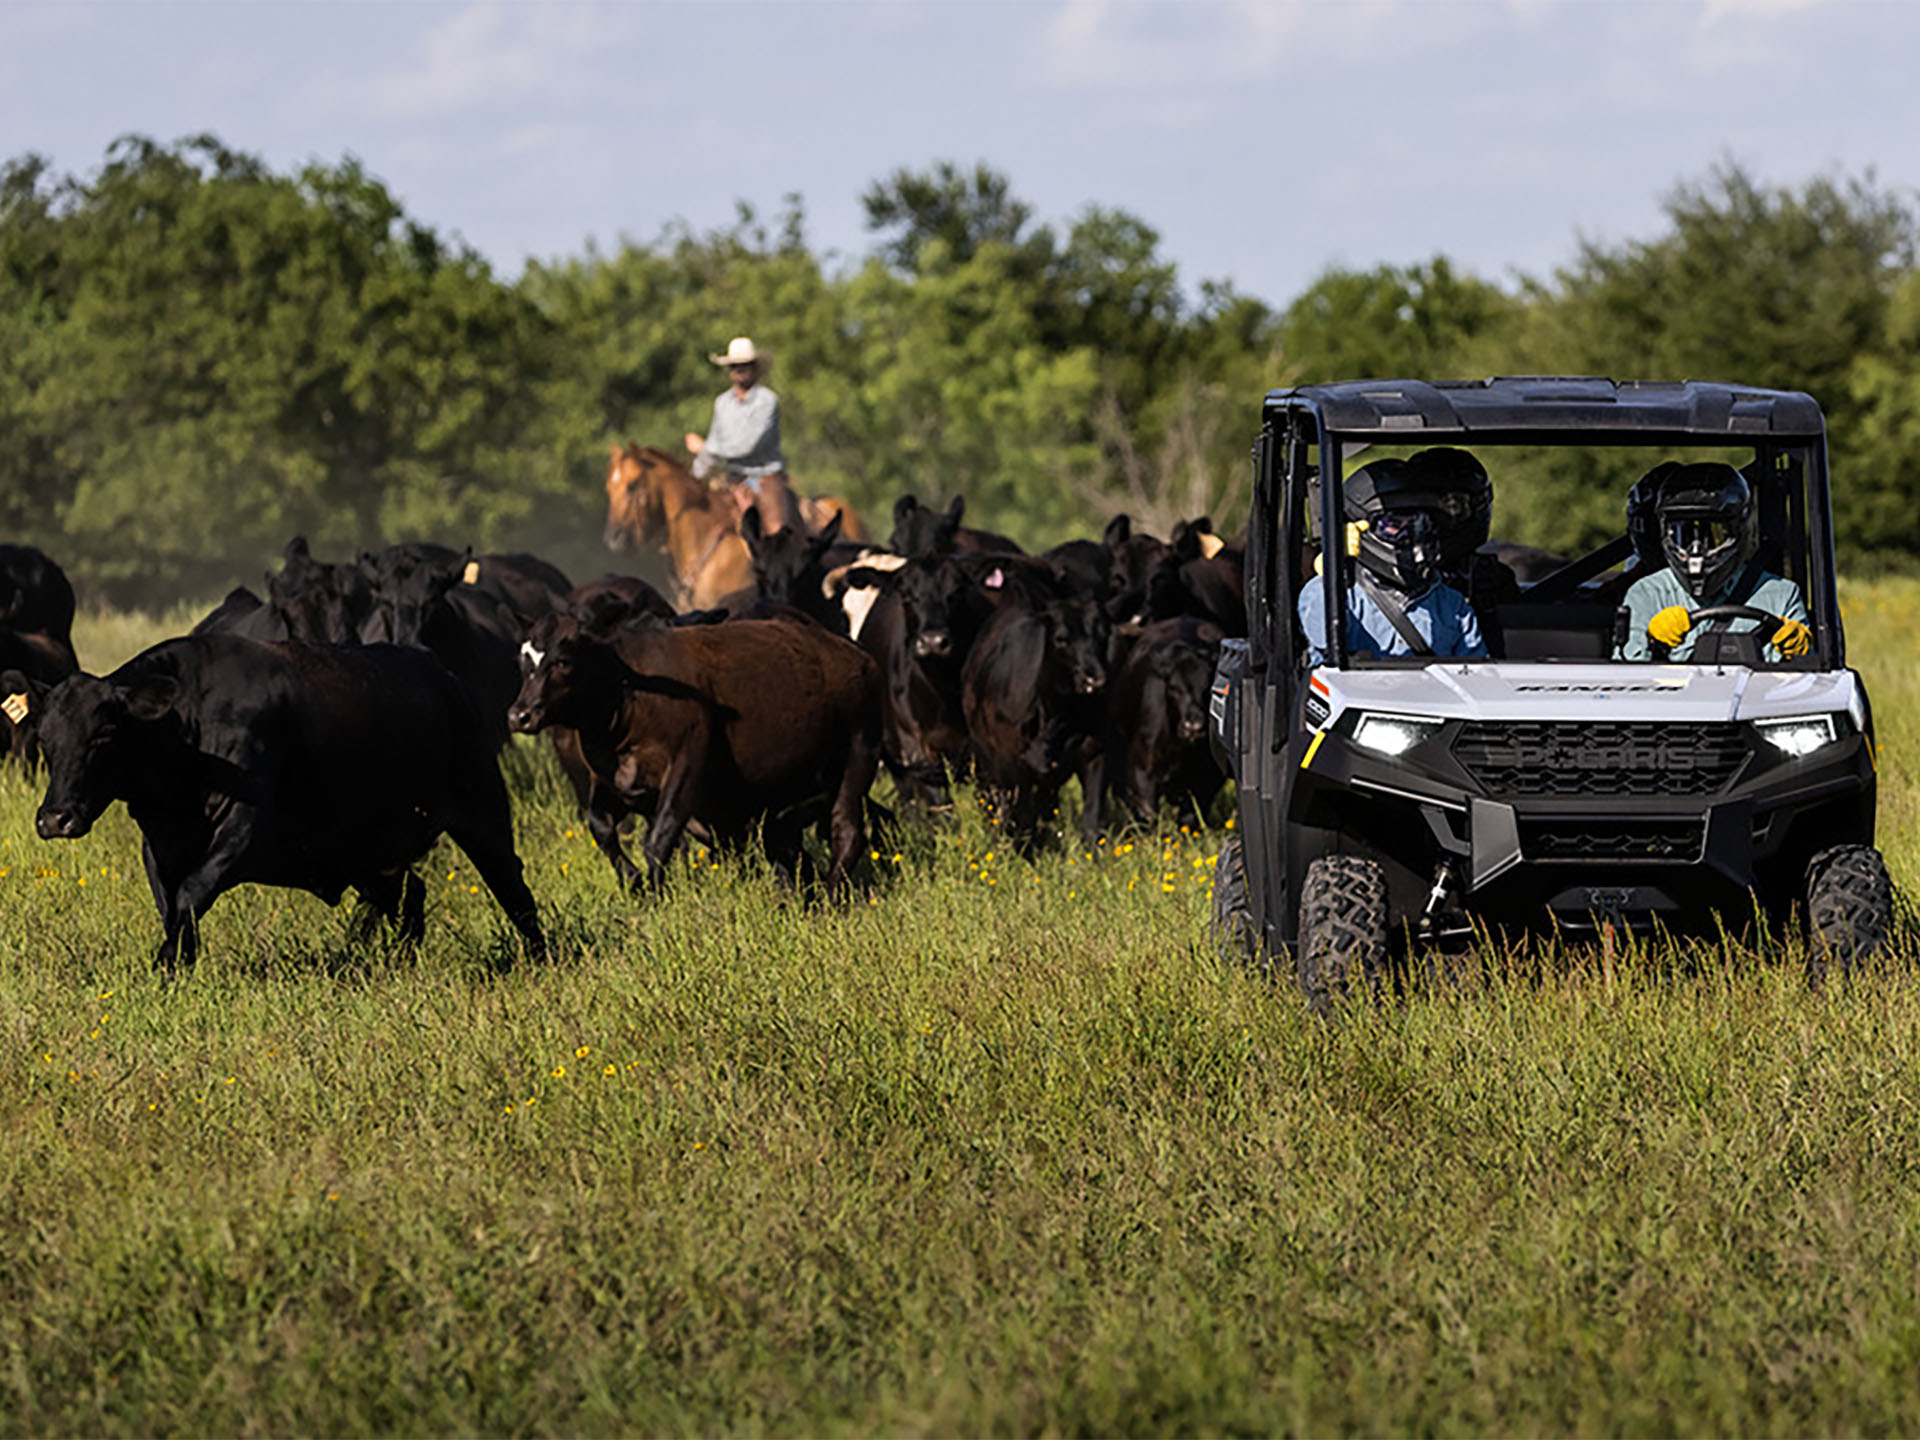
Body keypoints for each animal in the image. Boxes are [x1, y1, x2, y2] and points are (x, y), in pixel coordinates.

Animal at [30, 633, 545, 983]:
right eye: (44, 740)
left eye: (103, 735)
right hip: (368, 850)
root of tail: (444, 676)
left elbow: (192, 893)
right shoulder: (158, 842)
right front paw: (176, 965)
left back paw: (541, 958)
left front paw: (166, 962)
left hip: (482, 815)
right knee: (405, 896)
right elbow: (173, 906)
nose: (55, 818)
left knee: (514, 892)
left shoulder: (243, 828)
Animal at [503, 610, 879, 902]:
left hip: (858, 755)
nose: (520, 715)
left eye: (562, 661)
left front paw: (655, 897)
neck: (628, 695)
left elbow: (658, 839)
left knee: (847, 833)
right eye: (522, 662)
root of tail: (855, 653)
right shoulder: (612, 782)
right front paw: (633, 880)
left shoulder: (686, 769)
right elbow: (602, 829)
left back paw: (830, 897)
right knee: (787, 847)